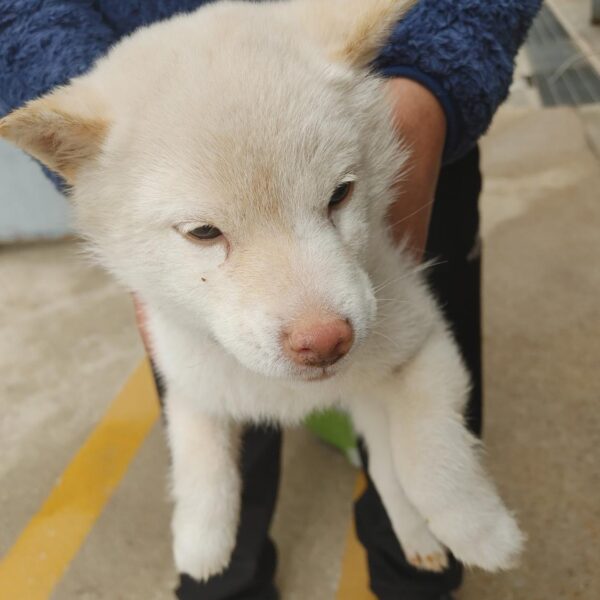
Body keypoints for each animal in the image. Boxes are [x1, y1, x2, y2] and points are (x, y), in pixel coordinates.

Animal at [0, 0, 524, 580]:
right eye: (204, 233)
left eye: (340, 194)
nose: (326, 341)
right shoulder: (188, 379)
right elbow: (202, 465)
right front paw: (200, 542)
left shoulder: (421, 340)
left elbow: (425, 454)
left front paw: (478, 529)